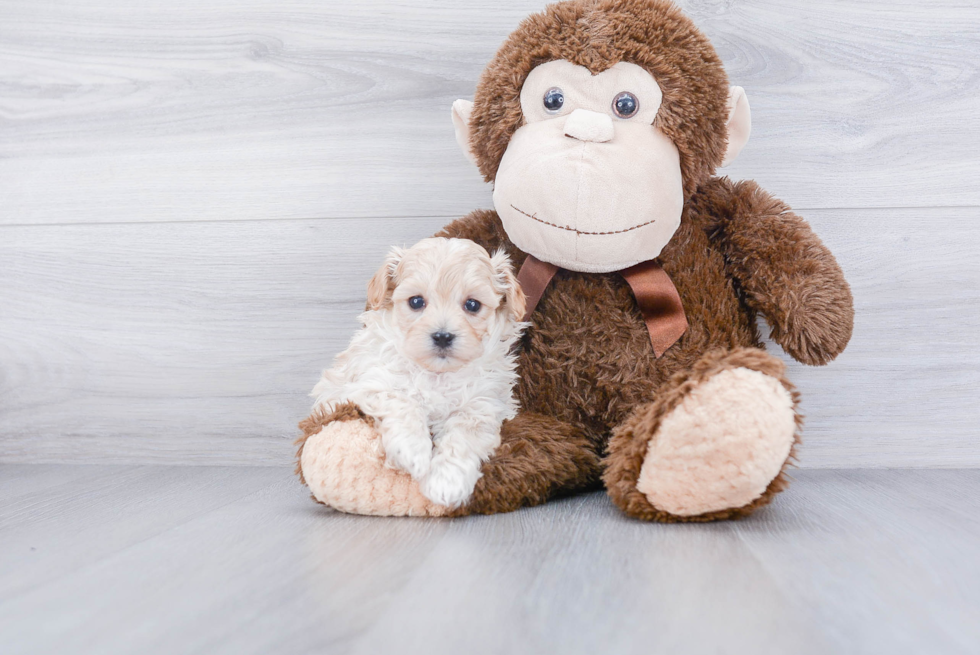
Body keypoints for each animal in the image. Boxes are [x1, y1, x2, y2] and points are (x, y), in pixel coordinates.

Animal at [314, 238, 528, 510]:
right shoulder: (370, 384)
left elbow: (462, 439)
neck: (438, 374)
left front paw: (447, 482)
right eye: (416, 302)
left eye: (472, 305)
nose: (443, 336)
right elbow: (403, 402)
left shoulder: (482, 406)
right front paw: (413, 451)